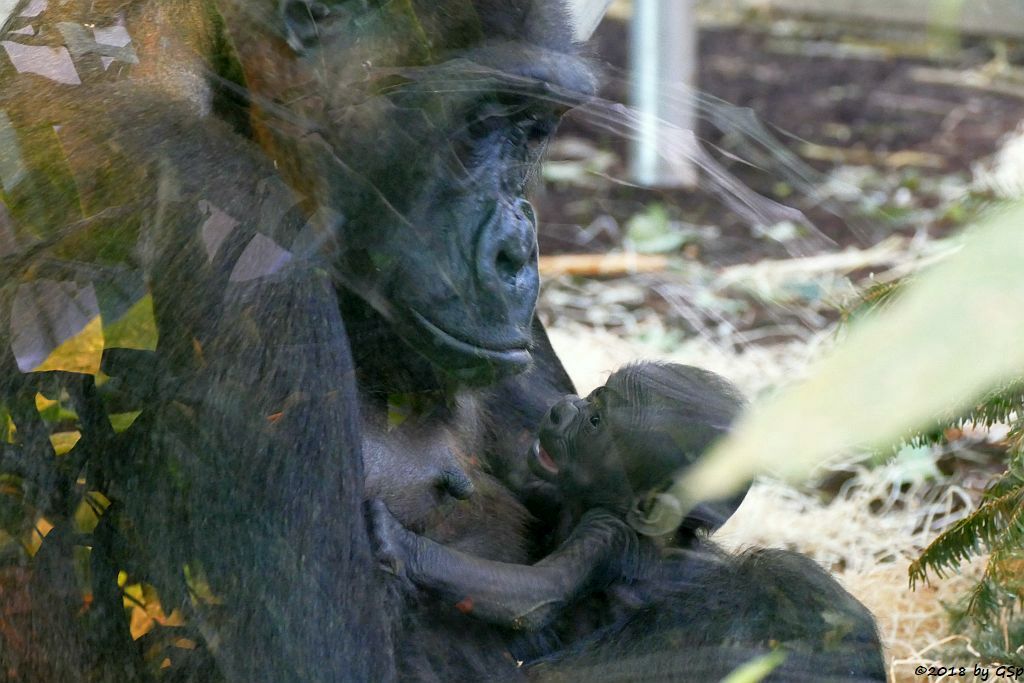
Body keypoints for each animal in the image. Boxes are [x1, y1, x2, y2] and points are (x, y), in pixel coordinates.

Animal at [368, 360, 745, 634]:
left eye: (595, 421)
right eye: (593, 395)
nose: (562, 409)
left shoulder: (608, 533)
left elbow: (535, 594)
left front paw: (399, 542)